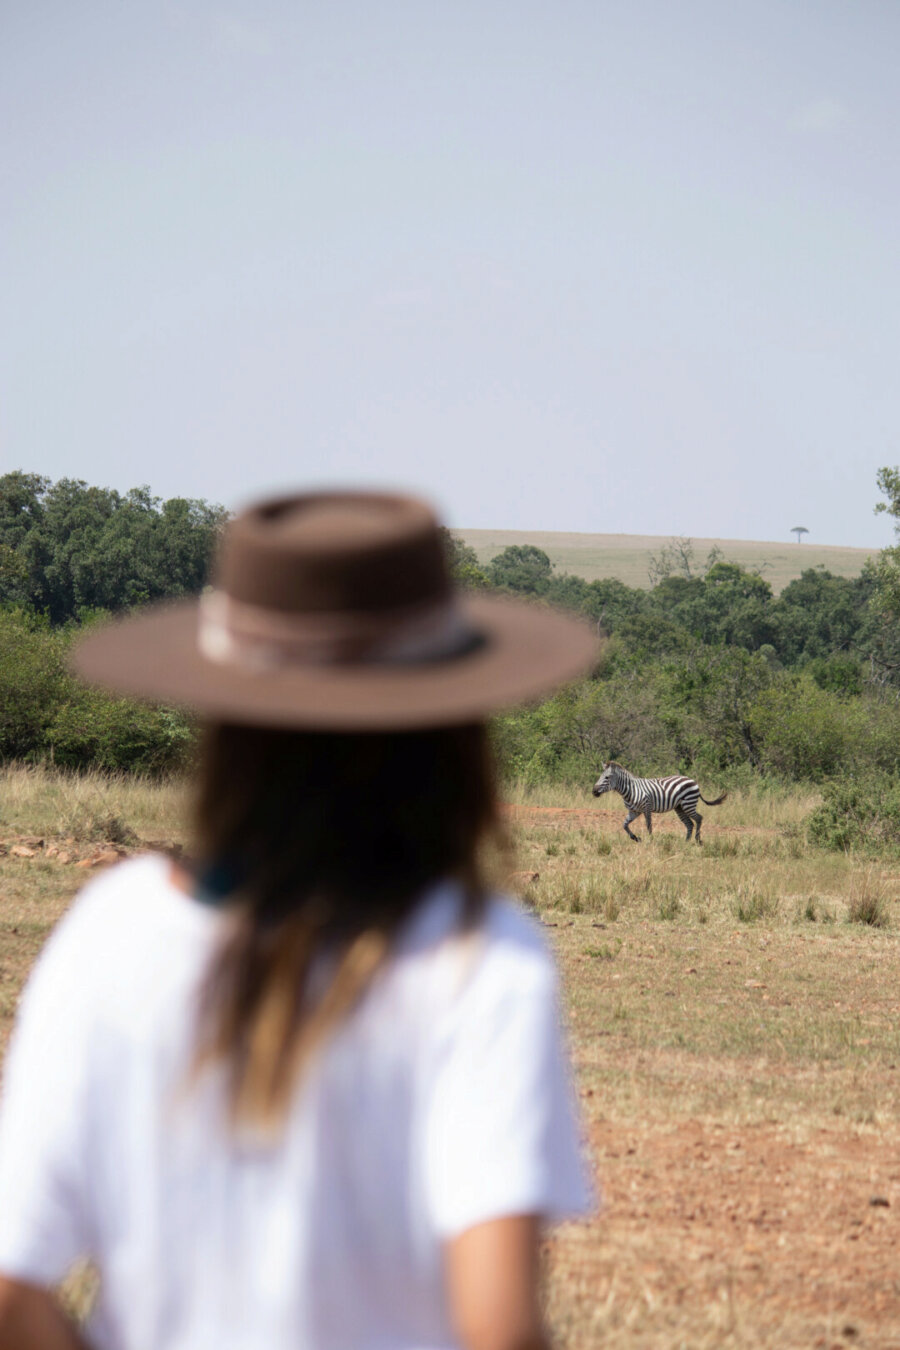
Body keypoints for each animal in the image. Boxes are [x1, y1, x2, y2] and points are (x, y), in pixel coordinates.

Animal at [593, 766, 728, 837]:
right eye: (600, 776)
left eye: (607, 777)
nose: (594, 791)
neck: (631, 790)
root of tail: (693, 780)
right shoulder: (634, 811)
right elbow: (625, 825)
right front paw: (636, 838)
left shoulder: (646, 807)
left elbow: (649, 825)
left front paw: (650, 840)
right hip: (679, 807)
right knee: (689, 824)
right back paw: (686, 843)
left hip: (688, 804)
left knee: (699, 818)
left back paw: (698, 841)